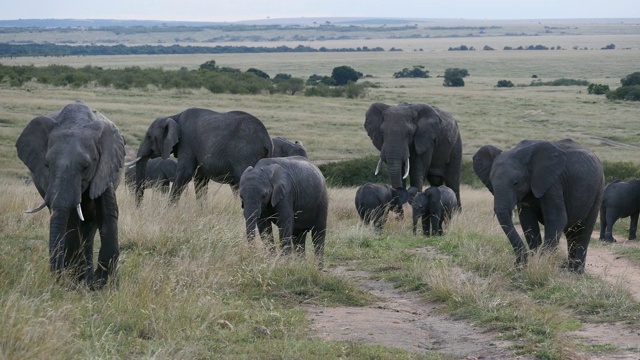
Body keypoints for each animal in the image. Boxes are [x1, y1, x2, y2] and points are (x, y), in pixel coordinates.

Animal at [15, 102, 124, 290]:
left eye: (86, 166)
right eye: (47, 164)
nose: (58, 281)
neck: (76, 122)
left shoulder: (105, 167)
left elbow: (108, 213)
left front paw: (104, 285)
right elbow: (71, 221)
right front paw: (78, 282)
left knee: (90, 226)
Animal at [127, 107, 272, 204]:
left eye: (149, 137)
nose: (139, 208)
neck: (174, 117)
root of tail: (267, 140)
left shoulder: (187, 143)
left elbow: (185, 173)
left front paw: (169, 210)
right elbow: (200, 179)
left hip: (246, 154)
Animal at [472, 139, 604, 272]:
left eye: (516, 183)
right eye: (492, 183)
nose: (517, 264)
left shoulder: (553, 182)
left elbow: (557, 219)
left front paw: (540, 264)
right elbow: (527, 220)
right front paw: (532, 263)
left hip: (598, 188)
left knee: (585, 229)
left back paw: (576, 272)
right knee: (571, 232)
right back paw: (567, 268)